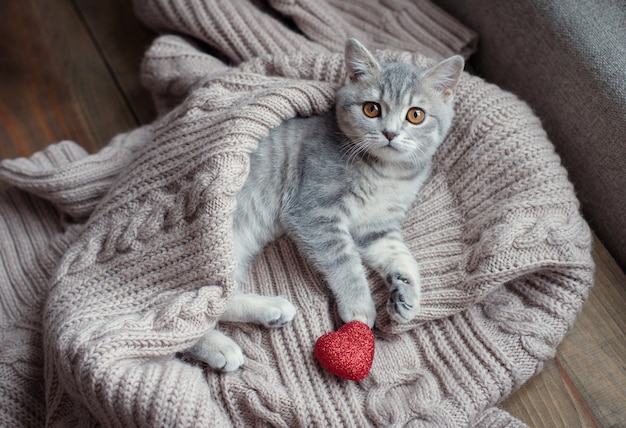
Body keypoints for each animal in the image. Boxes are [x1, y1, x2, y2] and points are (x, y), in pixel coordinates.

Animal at [190, 38, 464, 370]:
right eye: (371, 108)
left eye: (415, 115)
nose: (389, 133)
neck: (387, 173)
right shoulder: (313, 211)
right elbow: (344, 260)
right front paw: (359, 306)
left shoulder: (377, 227)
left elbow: (400, 255)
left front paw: (407, 292)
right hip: (215, 247)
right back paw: (222, 347)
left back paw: (270, 311)